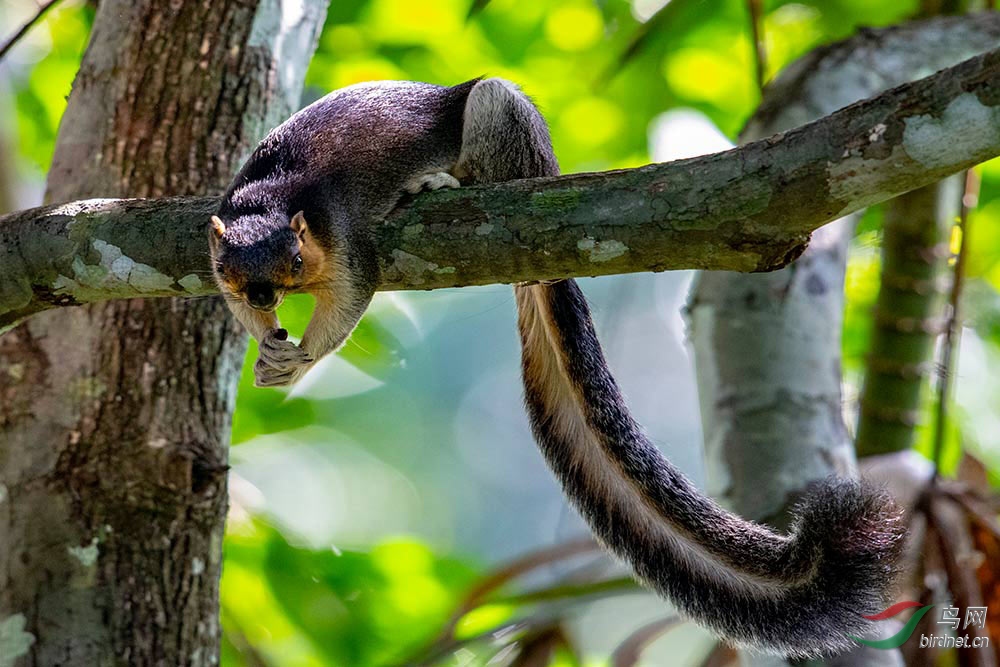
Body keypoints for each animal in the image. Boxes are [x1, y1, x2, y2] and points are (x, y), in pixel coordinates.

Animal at [209, 78, 908, 656]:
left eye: (292, 262)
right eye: (234, 272)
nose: (266, 297)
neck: (274, 196)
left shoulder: (347, 240)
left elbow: (353, 296)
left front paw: (299, 360)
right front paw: (268, 347)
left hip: (500, 116)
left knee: (489, 122)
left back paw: (442, 184)